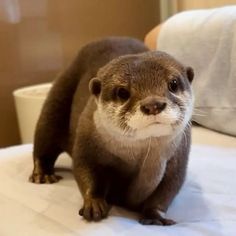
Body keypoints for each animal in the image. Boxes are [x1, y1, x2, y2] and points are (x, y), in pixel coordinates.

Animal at [29, 37, 195, 225]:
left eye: (173, 83)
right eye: (122, 92)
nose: (153, 104)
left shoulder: (179, 157)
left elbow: (168, 189)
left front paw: (155, 216)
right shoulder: (87, 135)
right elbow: (84, 168)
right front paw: (93, 203)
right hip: (59, 95)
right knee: (44, 138)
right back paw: (43, 174)